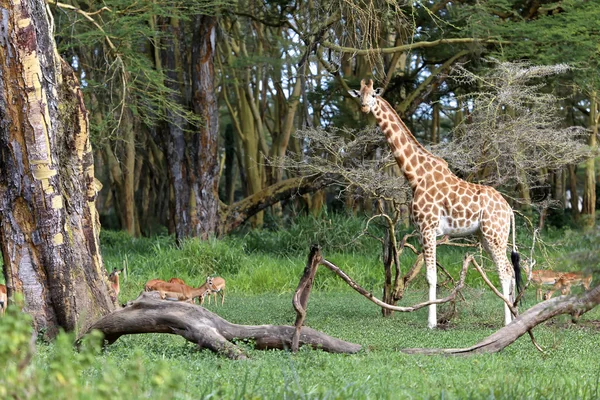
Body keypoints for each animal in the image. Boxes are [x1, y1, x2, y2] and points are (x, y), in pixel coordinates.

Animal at [350, 79, 524, 328]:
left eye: (373, 95)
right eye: (359, 95)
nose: (364, 107)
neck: (415, 176)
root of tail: (509, 209)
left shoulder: (428, 227)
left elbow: (430, 276)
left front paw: (431, 323)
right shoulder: (423, 230)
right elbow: (430, 275)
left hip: (494, 234)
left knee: (504, 272)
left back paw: (508, 322)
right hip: (487, 235)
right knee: (509, 269)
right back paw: (513, 317)